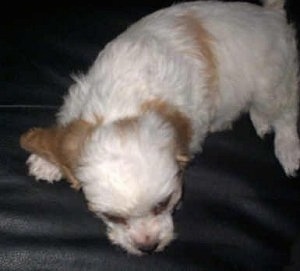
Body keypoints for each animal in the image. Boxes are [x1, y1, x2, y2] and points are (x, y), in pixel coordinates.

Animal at [19, 0, 298, 256]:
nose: (148, 247)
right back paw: (259, 121)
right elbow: (66, 135)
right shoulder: (82, 95)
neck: (123, 104)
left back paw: (287, 148)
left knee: (286, 111)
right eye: (113, 217)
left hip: (269, 84)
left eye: (163, 204)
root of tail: (271, 15)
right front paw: (47, 162)